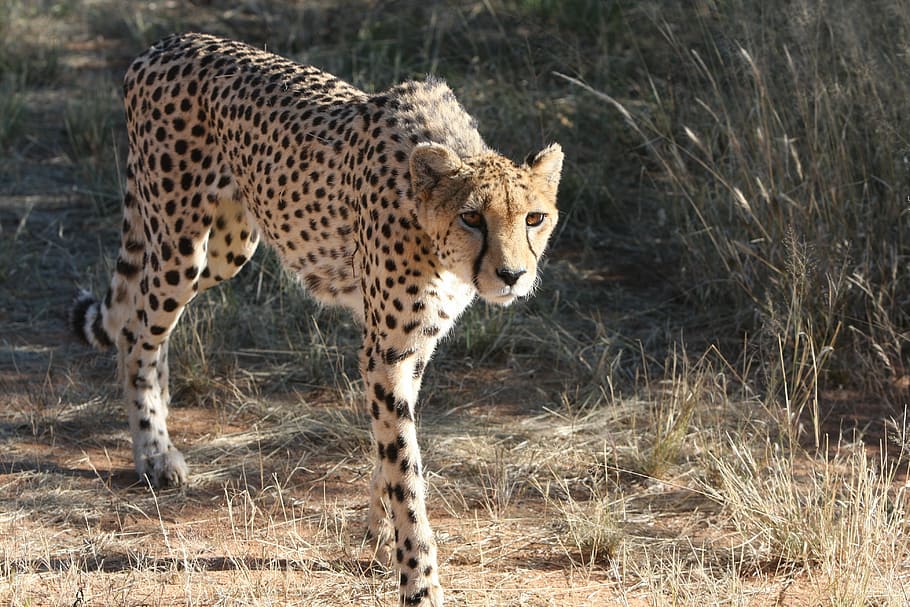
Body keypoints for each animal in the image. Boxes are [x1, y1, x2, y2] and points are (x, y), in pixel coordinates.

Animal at [70, 32, 563, 606]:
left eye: (534, 217)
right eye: (472, 217)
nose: (512, 275)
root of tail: (171, 42)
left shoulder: (411, 346)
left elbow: (392, 447)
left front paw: (379, 529)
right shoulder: (386, 350)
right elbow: (405, 466)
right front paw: (418, 579)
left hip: (229, 247)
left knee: (147, 318)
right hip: (179, 242)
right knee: (136, 329)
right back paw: (153, 451)